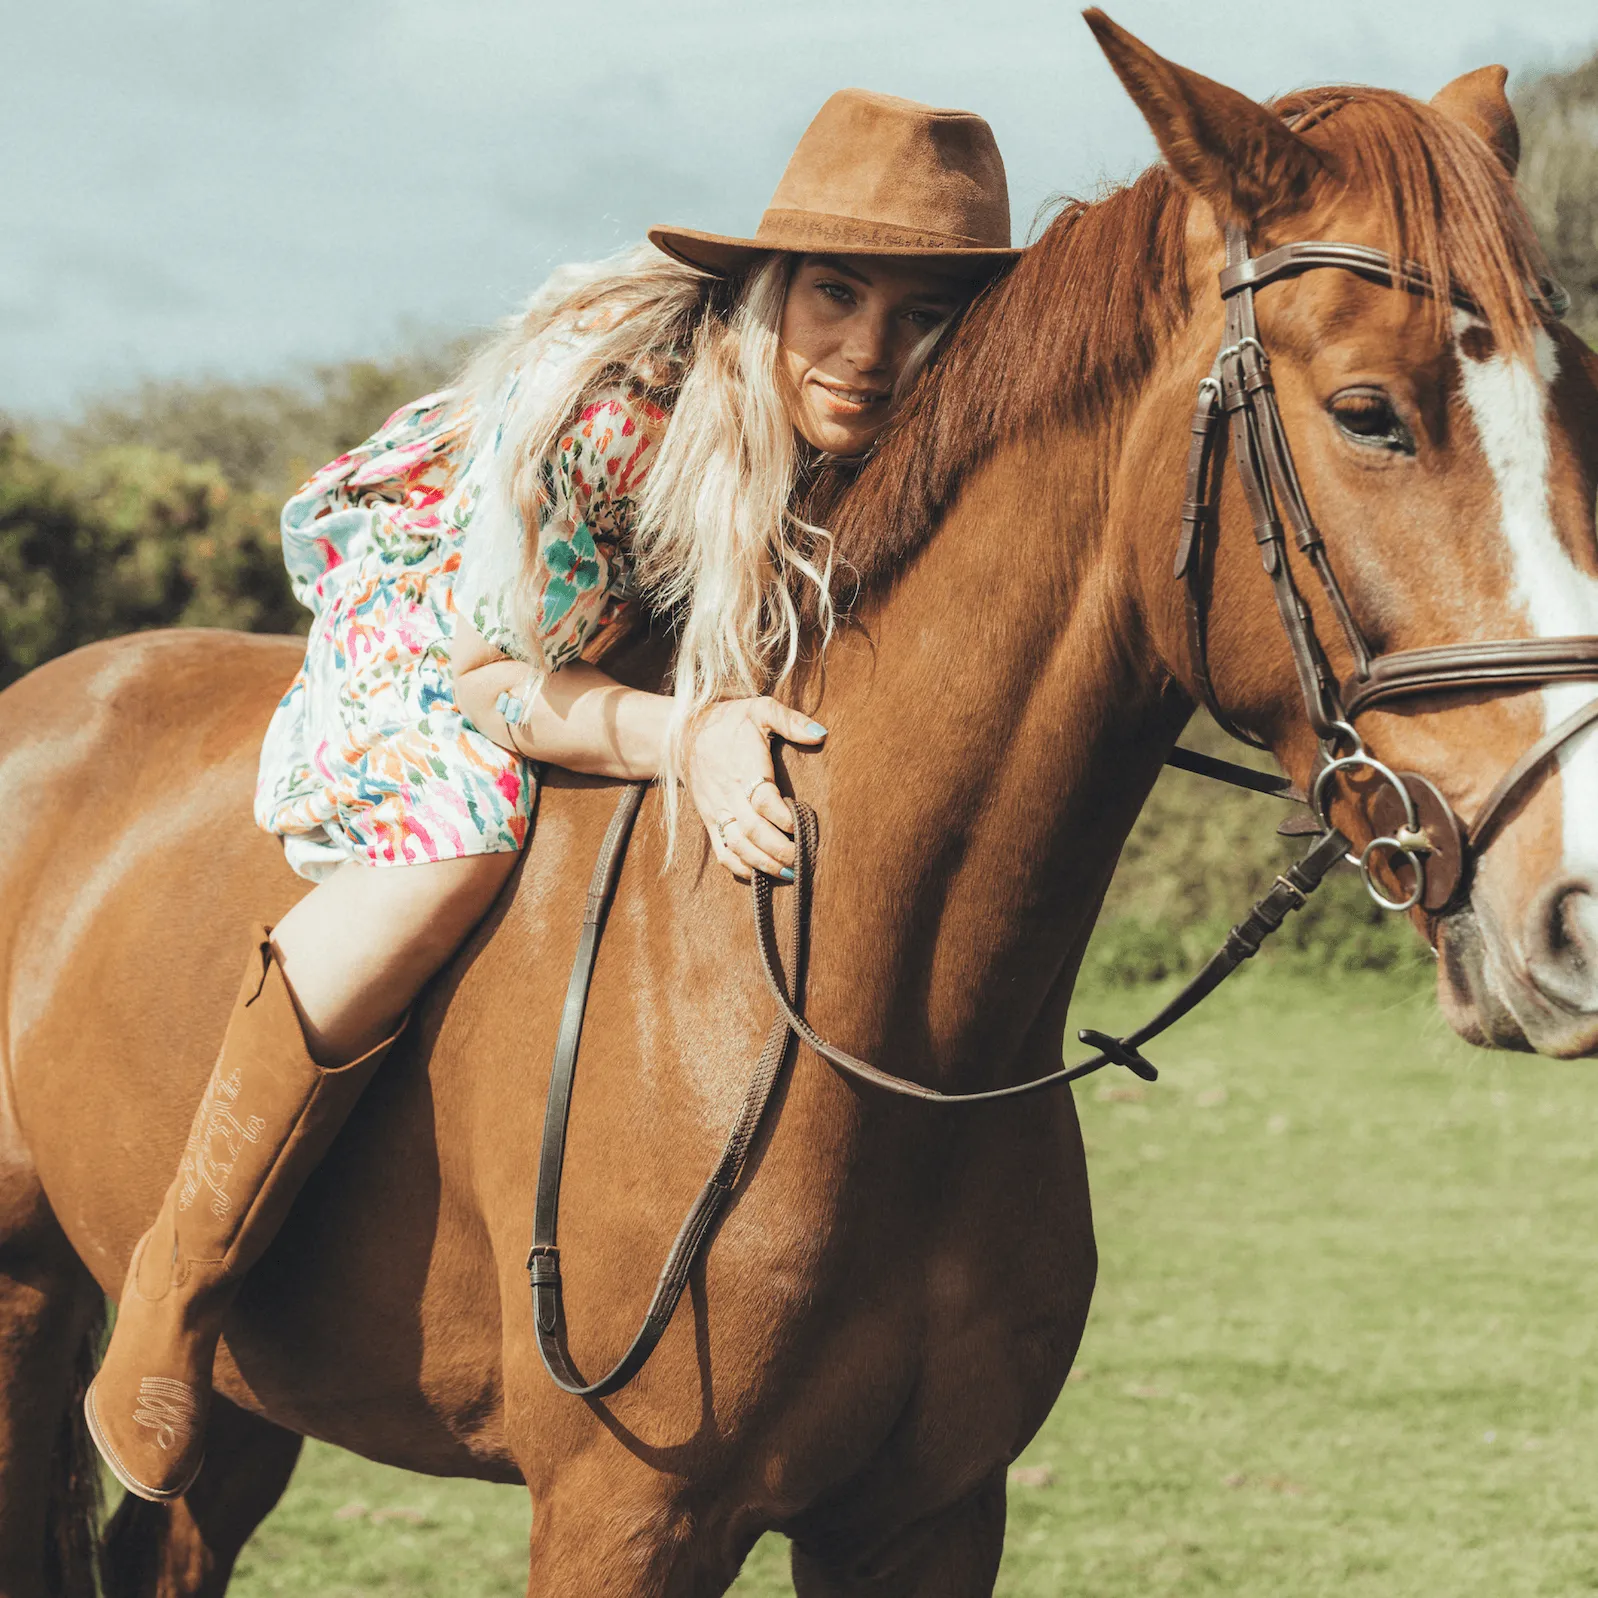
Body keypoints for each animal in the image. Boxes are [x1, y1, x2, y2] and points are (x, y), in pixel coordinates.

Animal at [3, 15, 1598, 1598]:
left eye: (1572, 394)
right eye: (1366, 413)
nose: (1574, 911)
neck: (857, 1015)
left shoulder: (926, 1517)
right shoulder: (622, 1516)